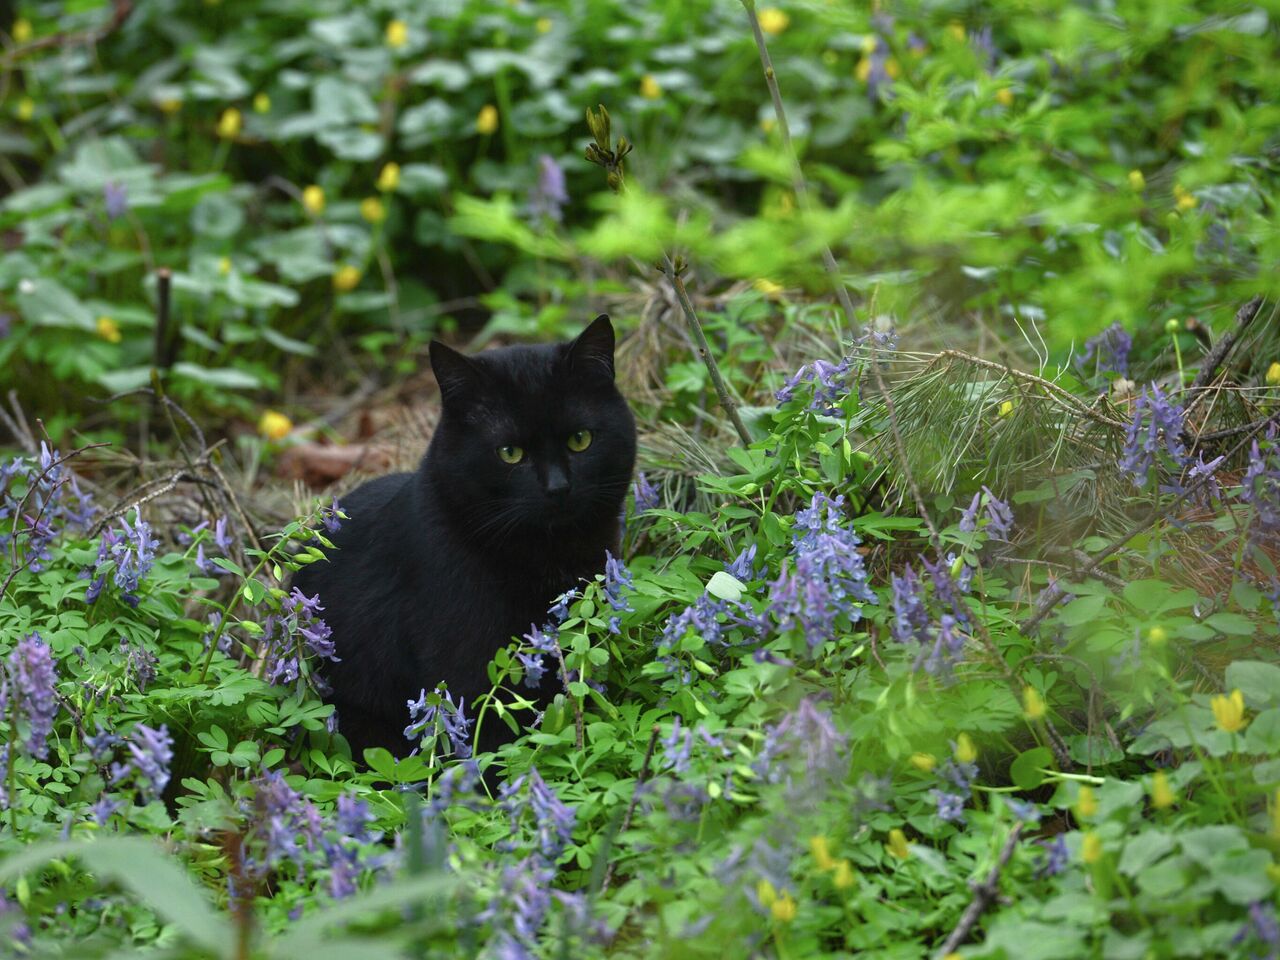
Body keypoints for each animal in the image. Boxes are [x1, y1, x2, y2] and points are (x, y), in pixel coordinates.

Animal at [293, 316, 637, 768]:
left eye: (580, 440)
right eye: (509, 453)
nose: (558, 488)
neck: (542, 554)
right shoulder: (467, 665)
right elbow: (488, 741)